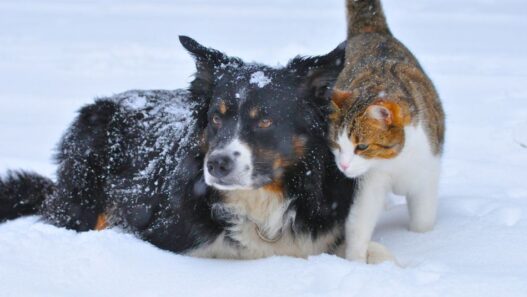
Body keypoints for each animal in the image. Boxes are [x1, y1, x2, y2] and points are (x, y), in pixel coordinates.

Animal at [330, 0, 446, 262]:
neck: (397, 160)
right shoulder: (369, 182)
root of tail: (371, 31)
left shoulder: (427, 173)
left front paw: (423, 241)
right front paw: (354, 261)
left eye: (362, 146)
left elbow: (423, 219)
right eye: (337, 145)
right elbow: (359, 221)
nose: (343, 166)